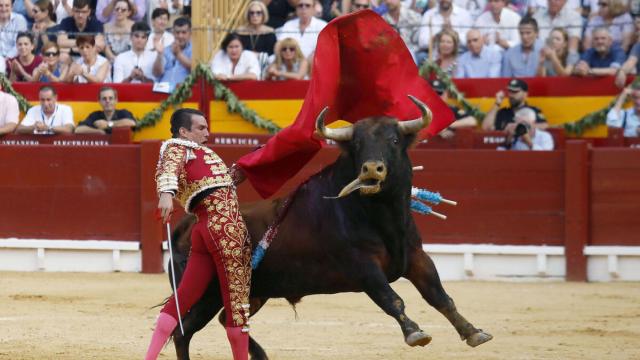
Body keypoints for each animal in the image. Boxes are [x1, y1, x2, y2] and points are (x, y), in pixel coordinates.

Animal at [168, 99, 492, 360]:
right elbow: (392, 298)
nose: (371, 169)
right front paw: (414, 332)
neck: (383, 217)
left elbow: (440, 296)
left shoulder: (416, 257)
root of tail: (190, 223)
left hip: (252, 292)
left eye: (394, 140)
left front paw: (473, 331)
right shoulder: (363, 267)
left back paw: (261, 355)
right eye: (358, 144)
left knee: (226, 321)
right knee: (183, 330)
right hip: (207, 291)